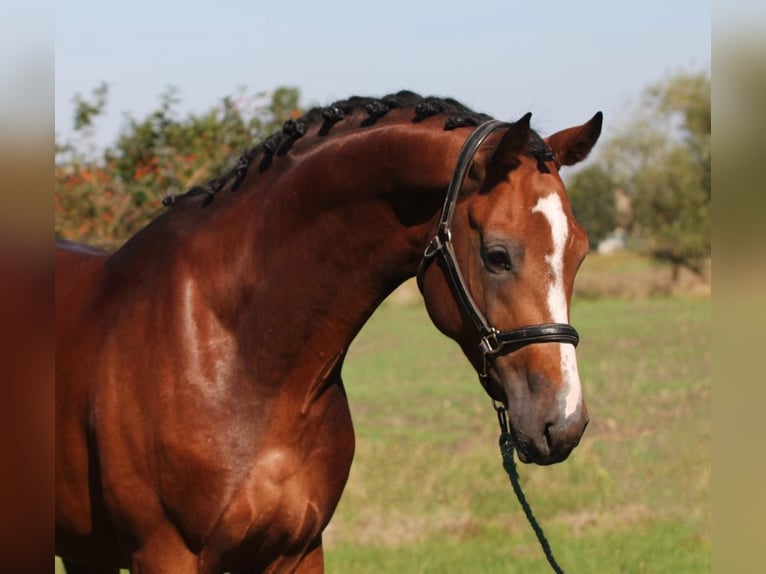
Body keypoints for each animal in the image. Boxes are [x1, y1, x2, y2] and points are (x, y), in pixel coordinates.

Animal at [55, 92, 608, 572]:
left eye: (580, 251)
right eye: (497, 254)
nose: (563, 422)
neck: (238, 355)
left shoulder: (298, 550)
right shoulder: (166, 555)